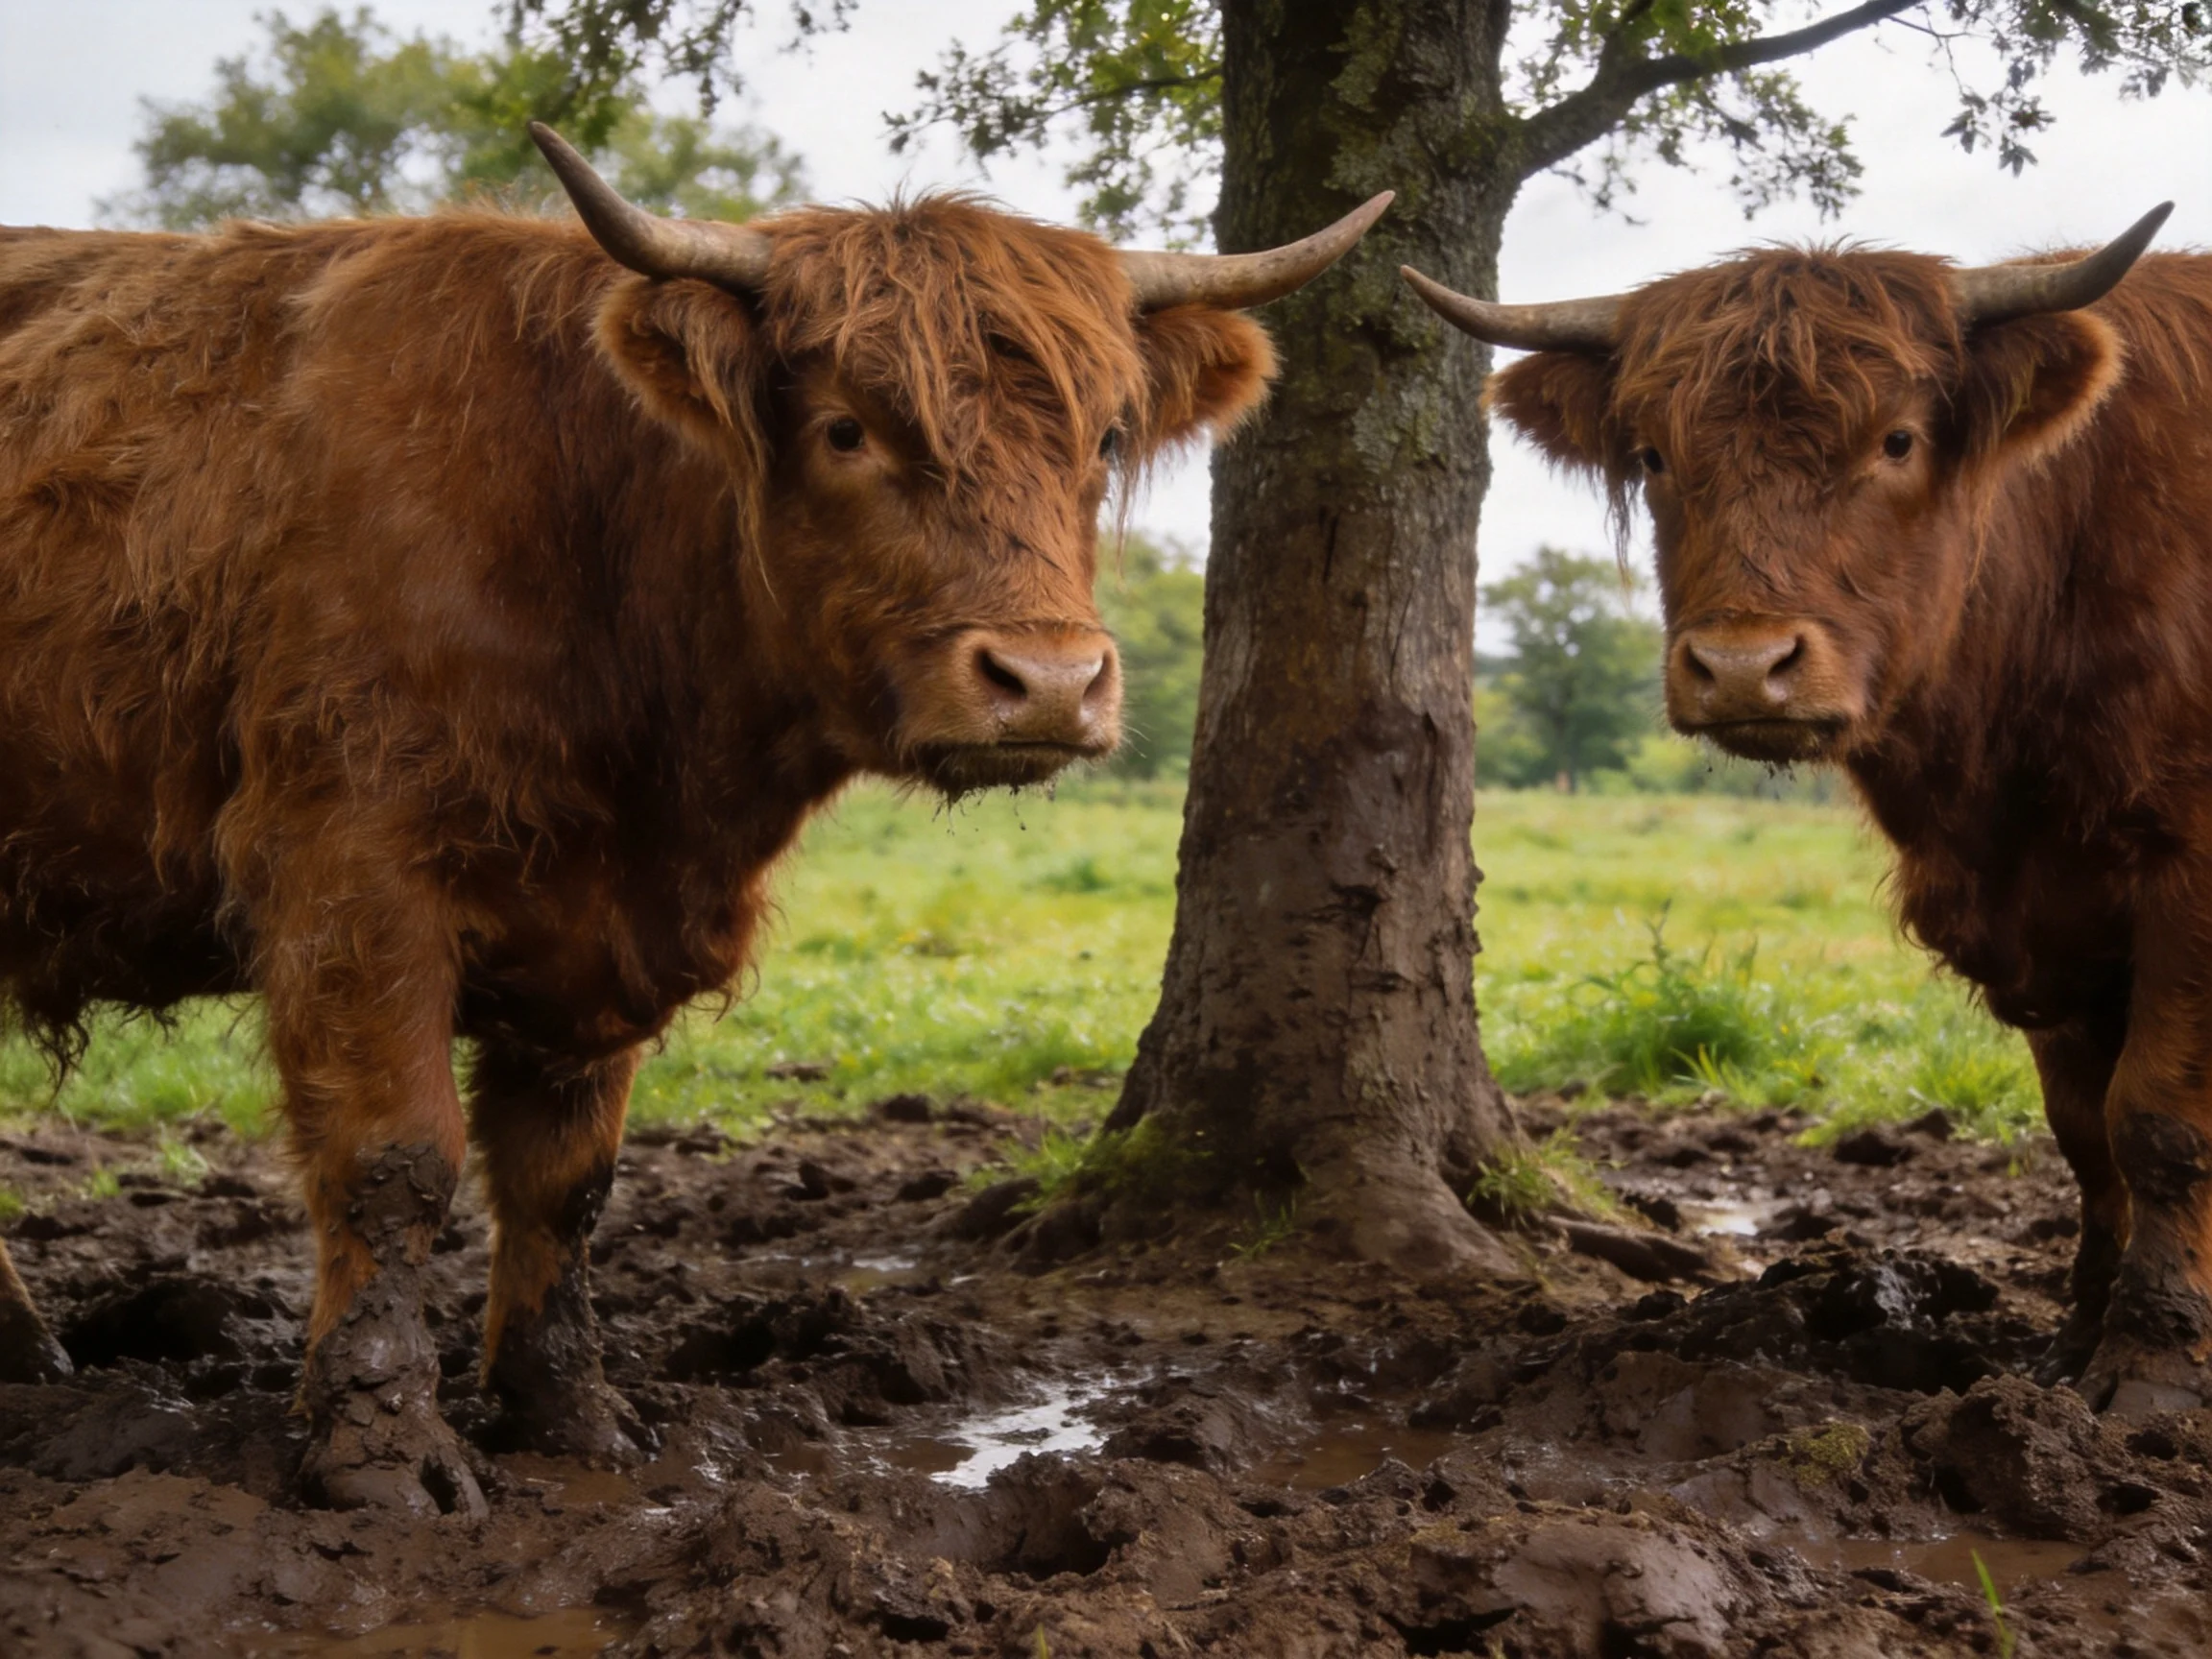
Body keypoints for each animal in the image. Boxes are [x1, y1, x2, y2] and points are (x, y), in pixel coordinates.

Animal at [0, 121, 1389, 1514]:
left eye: (1103, 440)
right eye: (844, 429)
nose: (1049, 681)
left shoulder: (594, 925)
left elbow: (565, 1182)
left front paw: (568, 1416)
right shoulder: (350, 872)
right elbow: (395, 1159)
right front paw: (378, 1452)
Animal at [1399, 207, 2212, 1413]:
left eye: (1898, 441)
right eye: (1655, 456)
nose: (1742, 666)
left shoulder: (2185, 884)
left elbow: (2158, 1118)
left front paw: (2153, 1368)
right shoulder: (2050, 916)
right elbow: (2086, 1130)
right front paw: (2074, 1343)